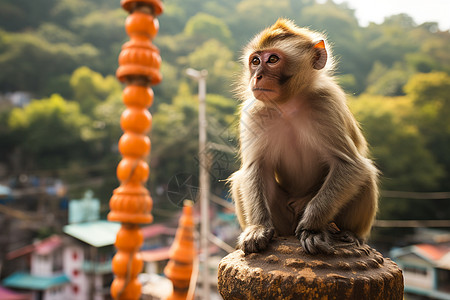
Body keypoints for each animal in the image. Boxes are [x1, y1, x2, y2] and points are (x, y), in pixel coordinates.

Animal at [230, 18, 378, 254]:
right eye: (255, 61)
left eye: (272, 59)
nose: (257, 76)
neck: (288, 105)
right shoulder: (254, 111)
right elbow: (255, 168)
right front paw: (258, 228)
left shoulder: (325, 104)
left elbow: (350, 165)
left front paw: (311, 228)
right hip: (283, 220)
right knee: (241, 179)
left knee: (365, 175)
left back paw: (349, 233)